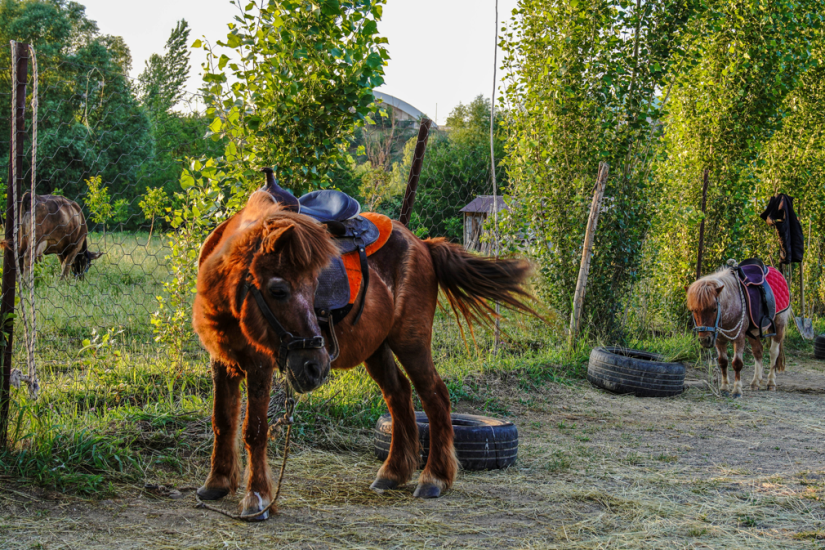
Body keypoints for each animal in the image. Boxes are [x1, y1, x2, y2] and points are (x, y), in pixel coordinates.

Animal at [684, 260, 788, 398]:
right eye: (694, 310)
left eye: (714, 309)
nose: (705, 340)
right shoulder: (719, 340)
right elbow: (723, 362)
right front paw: (724, 388)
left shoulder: (739, 338)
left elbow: (737, 363)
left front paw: (737, 390)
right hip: (753, 333)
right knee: (758, 352)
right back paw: (755, 382)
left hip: (779, 325)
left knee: (773, 353)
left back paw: (771, 382)